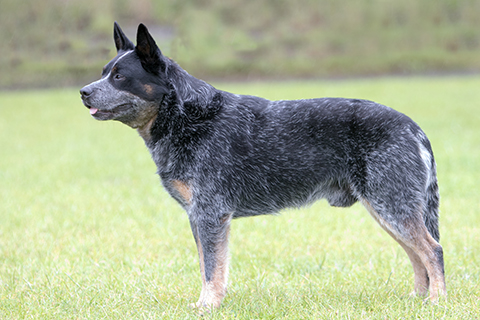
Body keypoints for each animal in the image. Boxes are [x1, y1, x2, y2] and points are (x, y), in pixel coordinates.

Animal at [79, 21, 446, 310]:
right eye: (103, 73)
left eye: (119, 76)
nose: (83, 91)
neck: (187, 117)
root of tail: (413, 127)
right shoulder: (199, 216)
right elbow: (208, 264)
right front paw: (210, 302)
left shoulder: (210, 214)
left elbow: (211, 267)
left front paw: (207, 305)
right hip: (388, 208)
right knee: (417, 255)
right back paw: (417, 300)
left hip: (391, 205)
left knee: (433, 250)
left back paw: (437, 302)